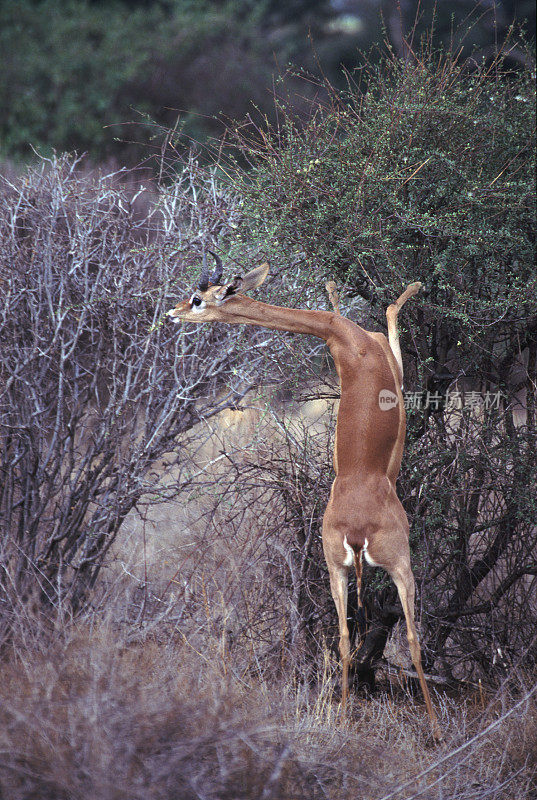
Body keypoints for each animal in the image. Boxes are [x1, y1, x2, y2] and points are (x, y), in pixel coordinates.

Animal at [168, 253, 440, 740]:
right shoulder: (394, 361)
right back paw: (436, 728)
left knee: (345, 639)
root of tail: (357, 532)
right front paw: (409, 285)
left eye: (198, 298)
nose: (172, 313)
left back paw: (344, 715)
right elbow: (391, 310)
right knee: (410, 638)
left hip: (334, 566)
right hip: (400, 564)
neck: (345, 337)